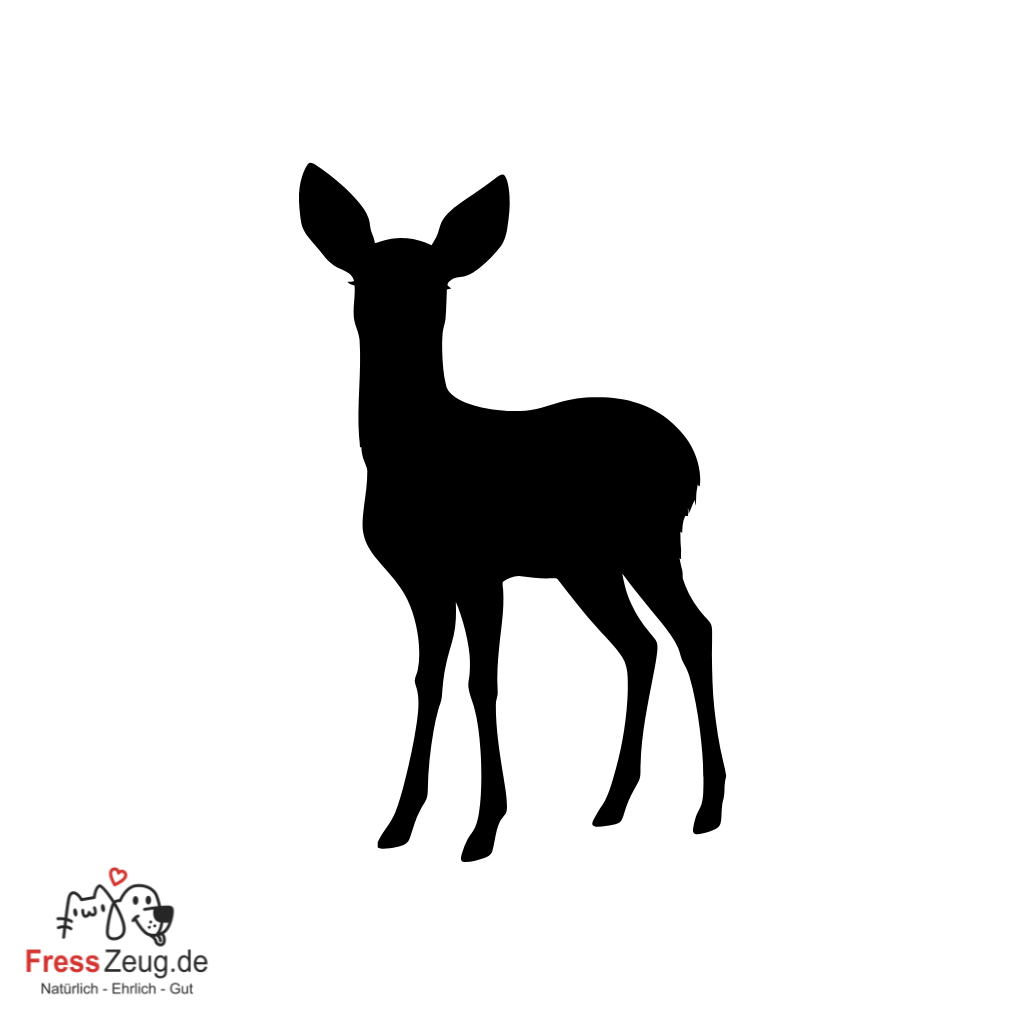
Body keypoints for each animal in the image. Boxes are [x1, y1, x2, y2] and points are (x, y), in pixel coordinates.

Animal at [298, 164, 725, 861]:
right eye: (361, 278)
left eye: (440, 282)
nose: (398, 328)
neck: (415, 458)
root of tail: (690, 460)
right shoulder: (422, 581)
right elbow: (428, 680)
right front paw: (399, 823)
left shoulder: (479, 570)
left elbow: (483, 682)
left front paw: (483, 828)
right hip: (590, 567)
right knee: (640, 646)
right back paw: (612, 804)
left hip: (650, 542)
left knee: (694, 631)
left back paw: (708, 807)